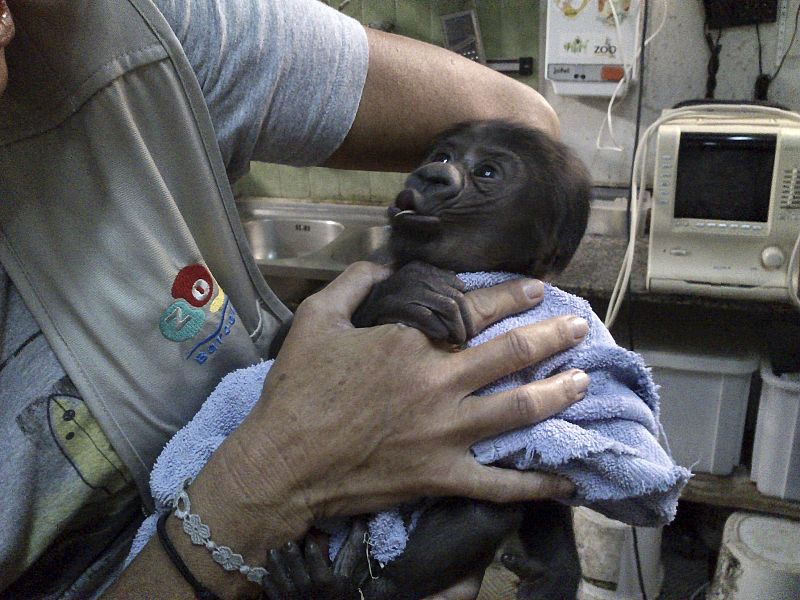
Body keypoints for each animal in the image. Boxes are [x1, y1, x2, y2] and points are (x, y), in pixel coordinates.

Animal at [260, 120, 588, 600]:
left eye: (487, 172)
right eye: (443, 156)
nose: (431, 175)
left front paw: (557, 573)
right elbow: (280, 349)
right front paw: (401, 294)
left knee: (485, 511)